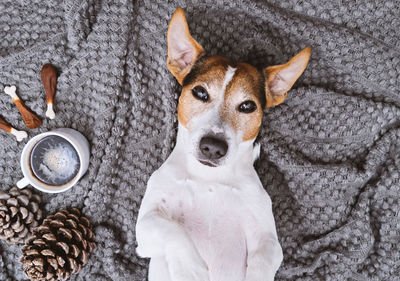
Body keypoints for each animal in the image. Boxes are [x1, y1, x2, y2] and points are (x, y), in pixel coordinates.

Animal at [136, 6, 310, 280]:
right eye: (200, 92)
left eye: (248, 106)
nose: (213, 147)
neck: (209, 177)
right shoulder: (146, 227)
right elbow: (174, 231)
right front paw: (191, 268)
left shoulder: (267, 240)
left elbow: (262, 262)